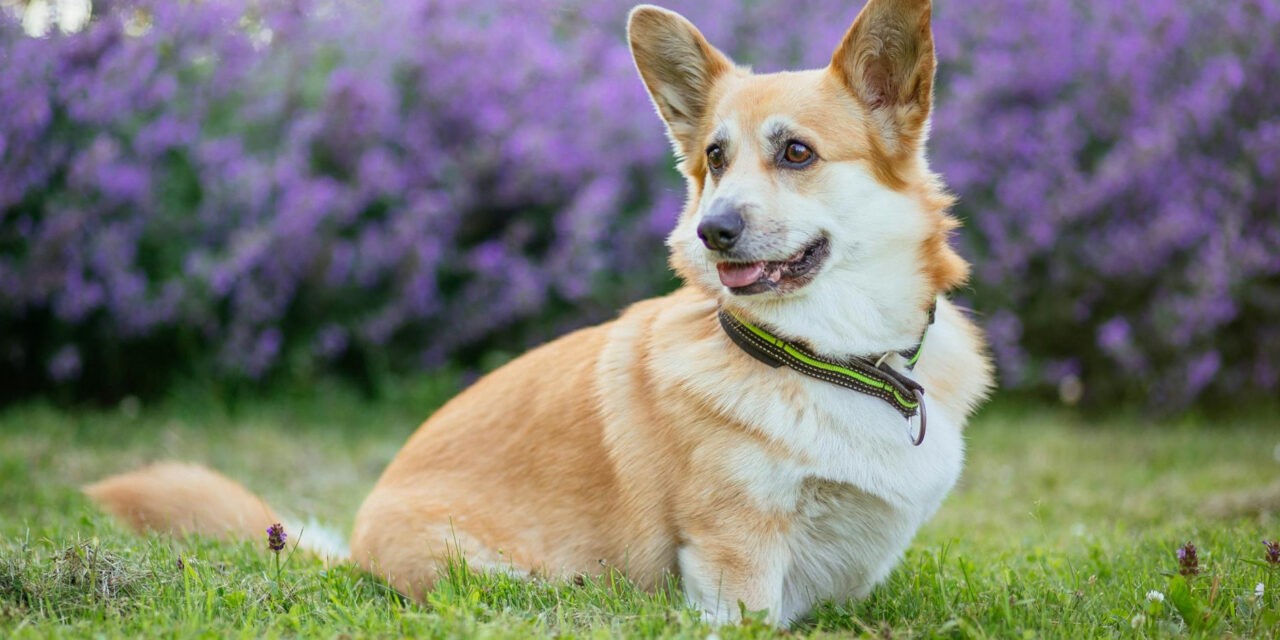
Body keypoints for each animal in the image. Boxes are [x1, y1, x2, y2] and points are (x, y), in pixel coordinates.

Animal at [90, 0, 988, 627]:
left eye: (797, 153)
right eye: (714, 158)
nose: (713, 230)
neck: (830, 356)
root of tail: (350, 551)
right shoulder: (735, 560)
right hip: (515, 579)